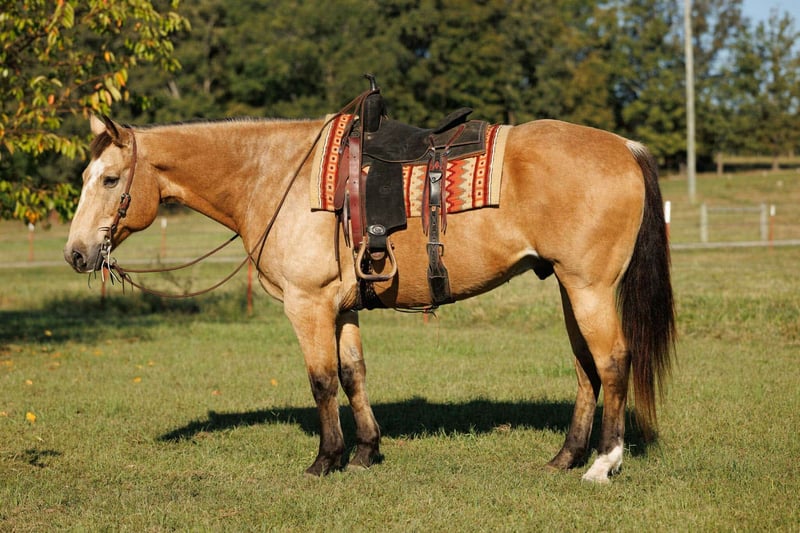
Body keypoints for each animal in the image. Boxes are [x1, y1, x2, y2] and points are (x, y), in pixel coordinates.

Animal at [64, 112, 674, 483]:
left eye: (111, 180)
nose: (76, 253)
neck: (277, 176)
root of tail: (624, 147)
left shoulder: (307, 305)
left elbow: (321, 381)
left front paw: (325, 460)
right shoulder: (343, 308)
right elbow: (354, 374)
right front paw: (364, 452)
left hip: (589, 289)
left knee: (612, 362)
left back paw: (603, 464)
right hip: (571, 290)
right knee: (586, 370)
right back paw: (564, 457)